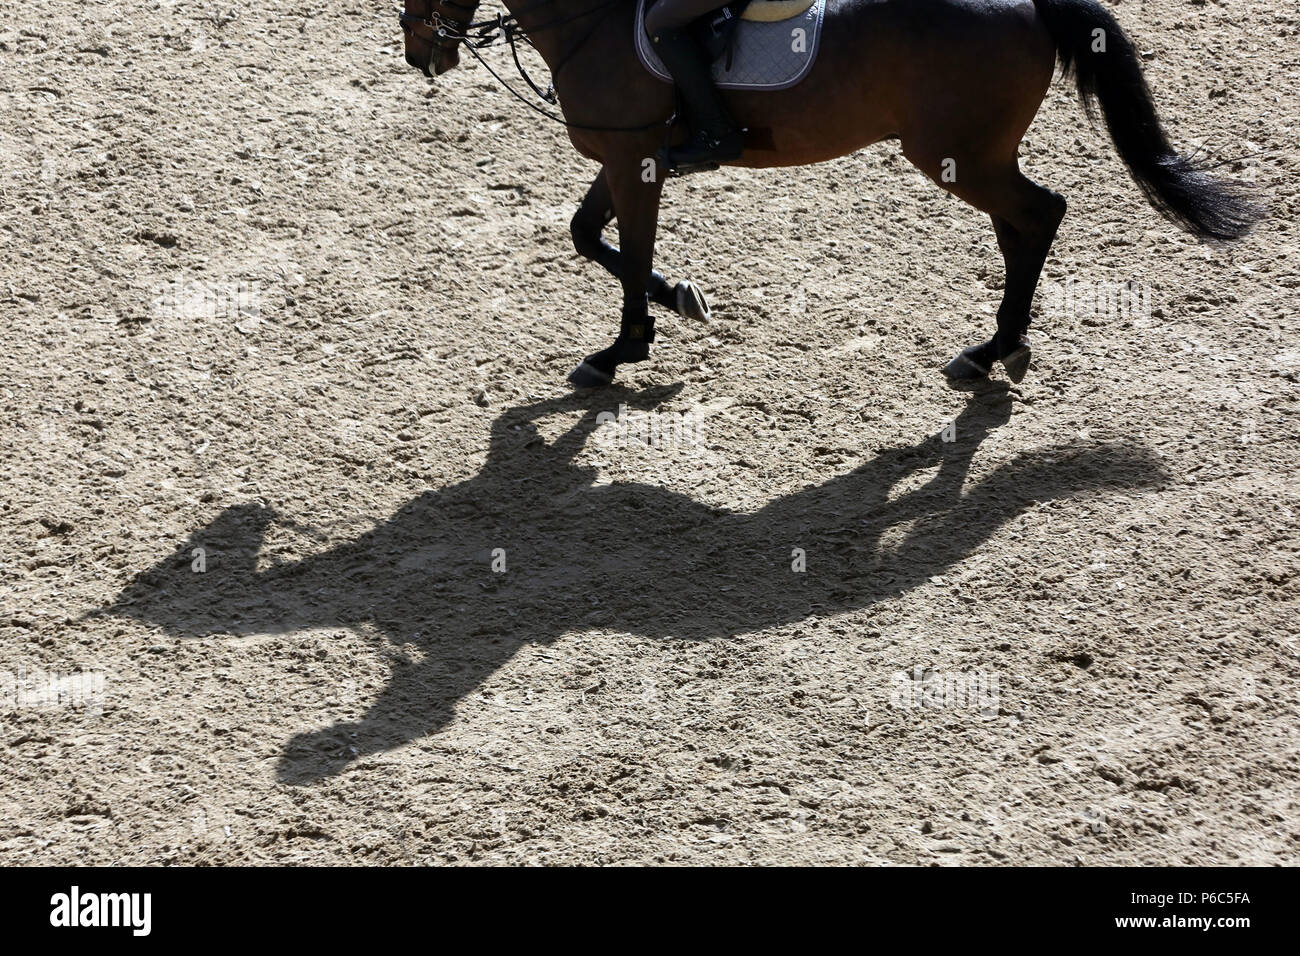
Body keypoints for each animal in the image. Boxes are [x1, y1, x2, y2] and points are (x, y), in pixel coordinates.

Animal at [400, 0, 1263, 390]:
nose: (419, 54)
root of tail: (1027, 3)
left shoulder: (633, 159)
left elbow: (629, 253)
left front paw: (624, 348)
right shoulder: (629, 154)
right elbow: (589, 235)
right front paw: (681, 301)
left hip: (954, 155)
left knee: (1038, 213)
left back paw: (994, 348)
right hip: (971, 156)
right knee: (1021, 226)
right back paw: (1001, 346)